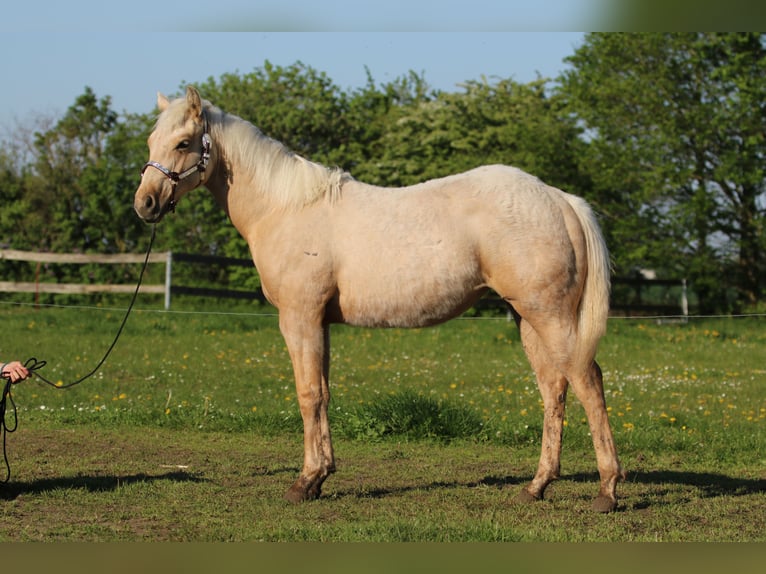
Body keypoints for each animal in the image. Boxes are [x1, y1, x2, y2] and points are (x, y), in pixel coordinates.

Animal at [135, 88, 628, 516]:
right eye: (151, 141)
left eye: (183, 142)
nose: (145, 204)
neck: (287, 208)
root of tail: (560, 199)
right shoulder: (321, 322)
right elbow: (324, 392)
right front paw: (321, 477)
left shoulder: (299, 317)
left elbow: (308, 394)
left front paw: (303, 482)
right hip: (528, 318)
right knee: (554, 388)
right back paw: (537, 486)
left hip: (550, 316)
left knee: (588, 382)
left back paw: (607, 490)